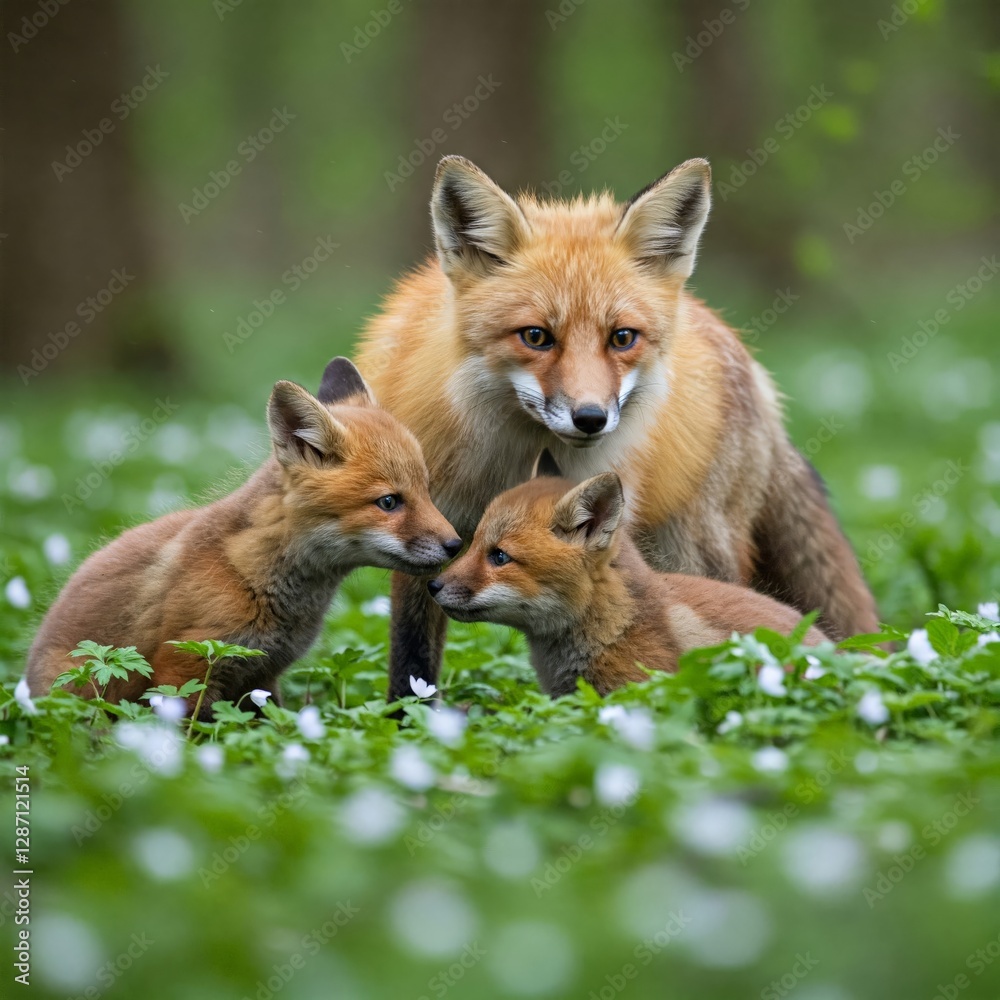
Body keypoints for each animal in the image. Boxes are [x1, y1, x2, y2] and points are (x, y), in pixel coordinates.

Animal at [25, 358, 461, 715]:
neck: (249, 569)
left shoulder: (260, 678)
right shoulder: (185, 667)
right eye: (389, 502)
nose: (456, 545)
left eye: (426, 490)